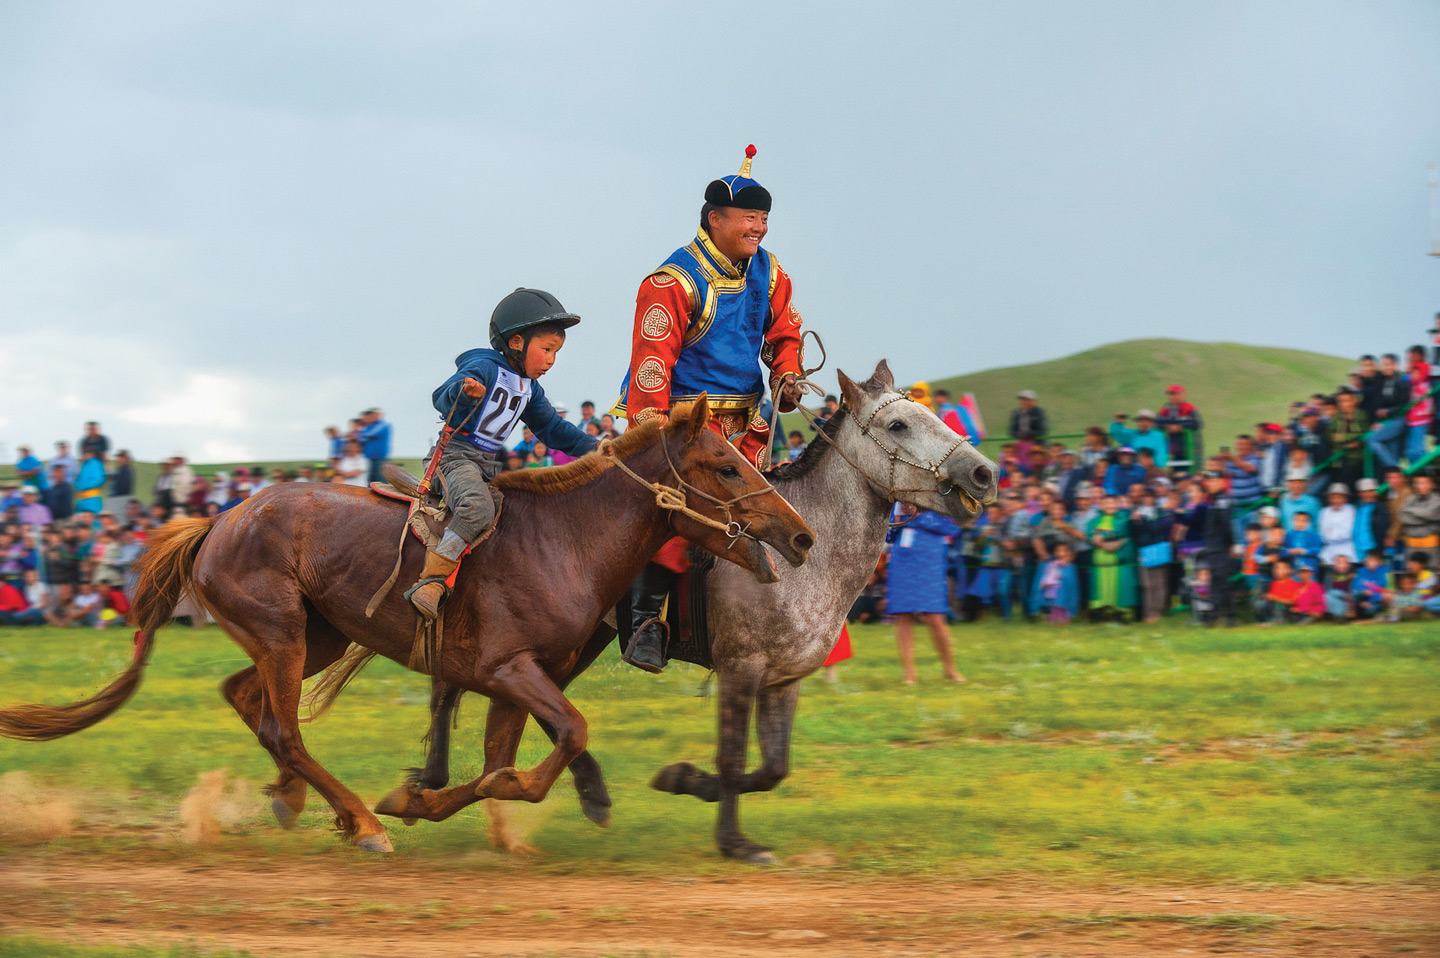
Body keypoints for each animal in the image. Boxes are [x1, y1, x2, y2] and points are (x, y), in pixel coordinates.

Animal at [0, 397, 812, 852]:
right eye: (726, 466)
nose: (801, 536)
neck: (564, 541)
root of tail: (219, 519)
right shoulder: (509, 671)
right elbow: (559, 744)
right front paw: (411, 802)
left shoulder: (518, 682)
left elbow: (501, 767)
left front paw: (426, 797)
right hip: (283, 634)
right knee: (284, 728)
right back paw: (361, 823)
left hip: (312, 634)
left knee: (249, 701)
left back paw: (297, 799)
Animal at [377, 363, 996, 864]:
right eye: (899, 426)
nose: (984, 473)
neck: (802, 555)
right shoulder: (741, 667)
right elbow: (733, 756)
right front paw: (733, 840)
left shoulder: (785, 679)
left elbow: (772, 768)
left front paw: (684, 780)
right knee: (453, 690)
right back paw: (436, 780)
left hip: (574, 643)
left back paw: (577, 793)